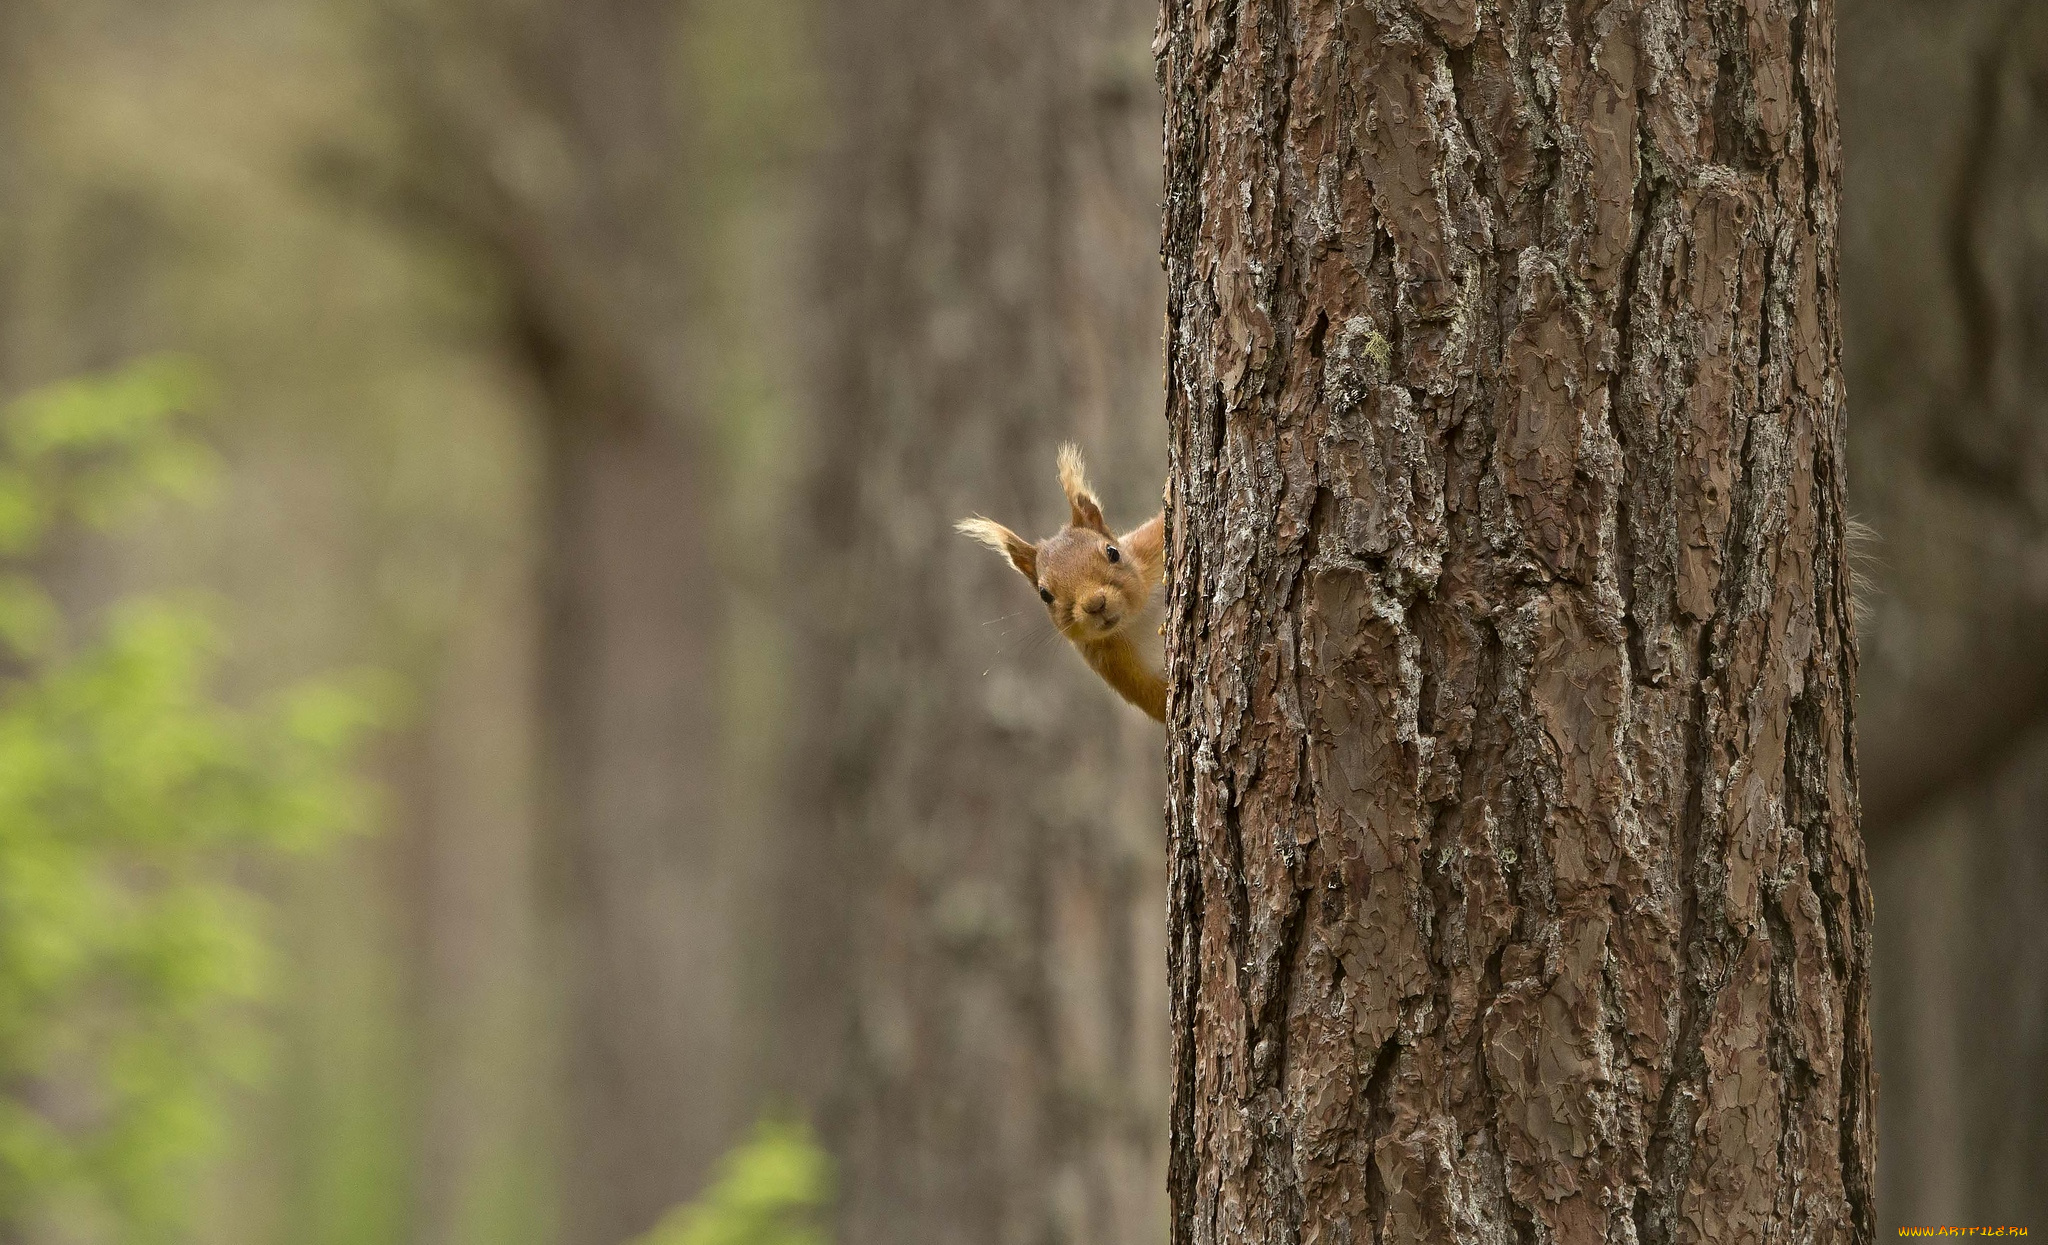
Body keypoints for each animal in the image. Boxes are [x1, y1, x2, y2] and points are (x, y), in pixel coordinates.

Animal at [958, 444, 1171, 720]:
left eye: (1113, 552)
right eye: (1044, 594)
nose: (1095, 604)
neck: (1137, 619)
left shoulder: (1149, 545)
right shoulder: (1118, 668)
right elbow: (1160, 705)